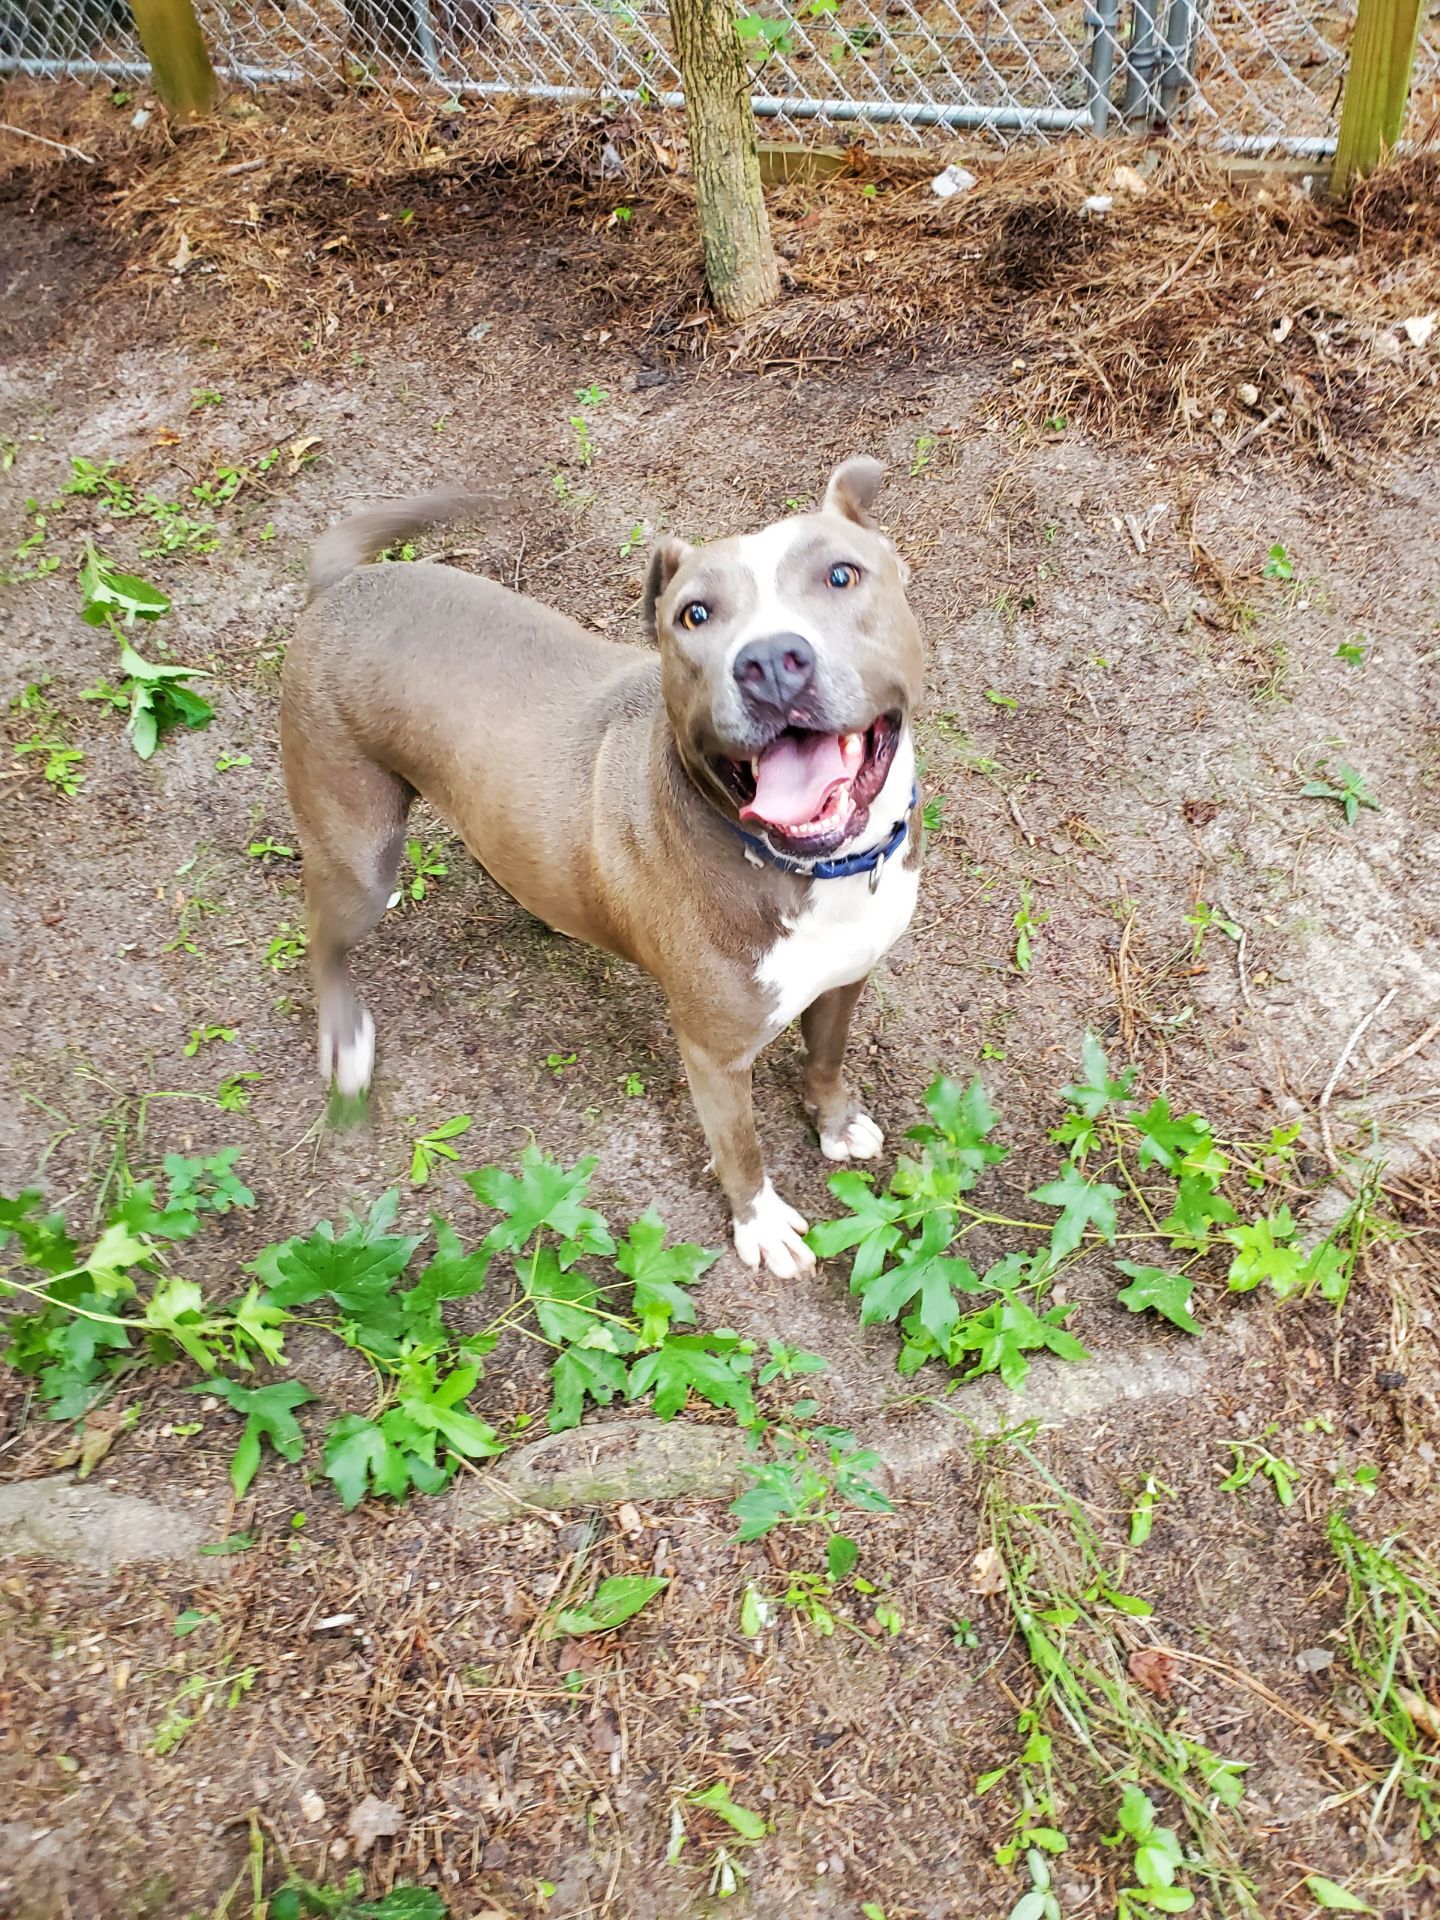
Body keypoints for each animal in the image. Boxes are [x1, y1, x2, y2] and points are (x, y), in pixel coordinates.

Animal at [282, 455, 925, 1274]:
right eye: (695, 616)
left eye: (842, 575)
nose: (767, 663)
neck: (815, 871)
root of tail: (341, 586)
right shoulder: (714, 1054)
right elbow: (740, 1145)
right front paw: (760, 1223)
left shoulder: (847, 976)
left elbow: (827, 1058)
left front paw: (837, 1122)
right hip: (359, 853)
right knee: (321, 931)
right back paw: (347, 1046)